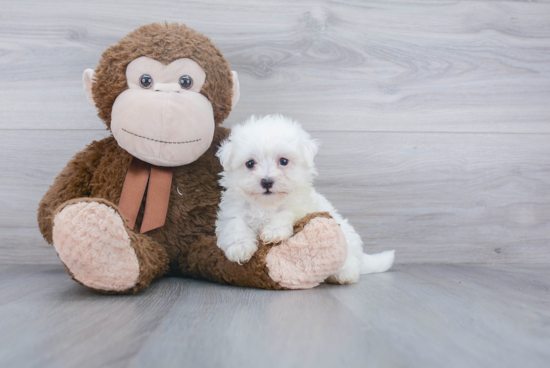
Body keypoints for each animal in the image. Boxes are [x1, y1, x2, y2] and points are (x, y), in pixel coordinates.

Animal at [216, 115, 396, 284]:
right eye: (250, 163)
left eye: (283, 161)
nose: (266, 181)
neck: (267, 205)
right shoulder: (232, 210)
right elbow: (235, 224)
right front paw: (240, 247)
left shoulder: (300, 206)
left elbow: (286, 213)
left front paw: (274, 231)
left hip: (348, 243)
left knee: (350, 262)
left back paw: (343, 275)